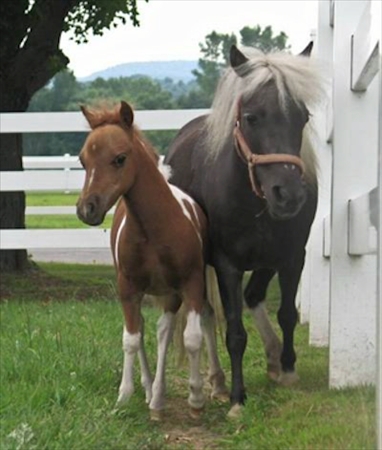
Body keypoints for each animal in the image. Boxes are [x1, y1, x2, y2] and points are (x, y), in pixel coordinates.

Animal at [77, 101, 227, 418]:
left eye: (119, 158)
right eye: (83, 161)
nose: (87, 209)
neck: (153, 229)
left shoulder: (189, 284)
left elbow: (190, 338)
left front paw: (196, 398)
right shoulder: (127, 288)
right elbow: (131, 338)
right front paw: (125, 395)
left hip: (177, 291)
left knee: (175, 327)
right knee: (147, 327)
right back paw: (150, 390)